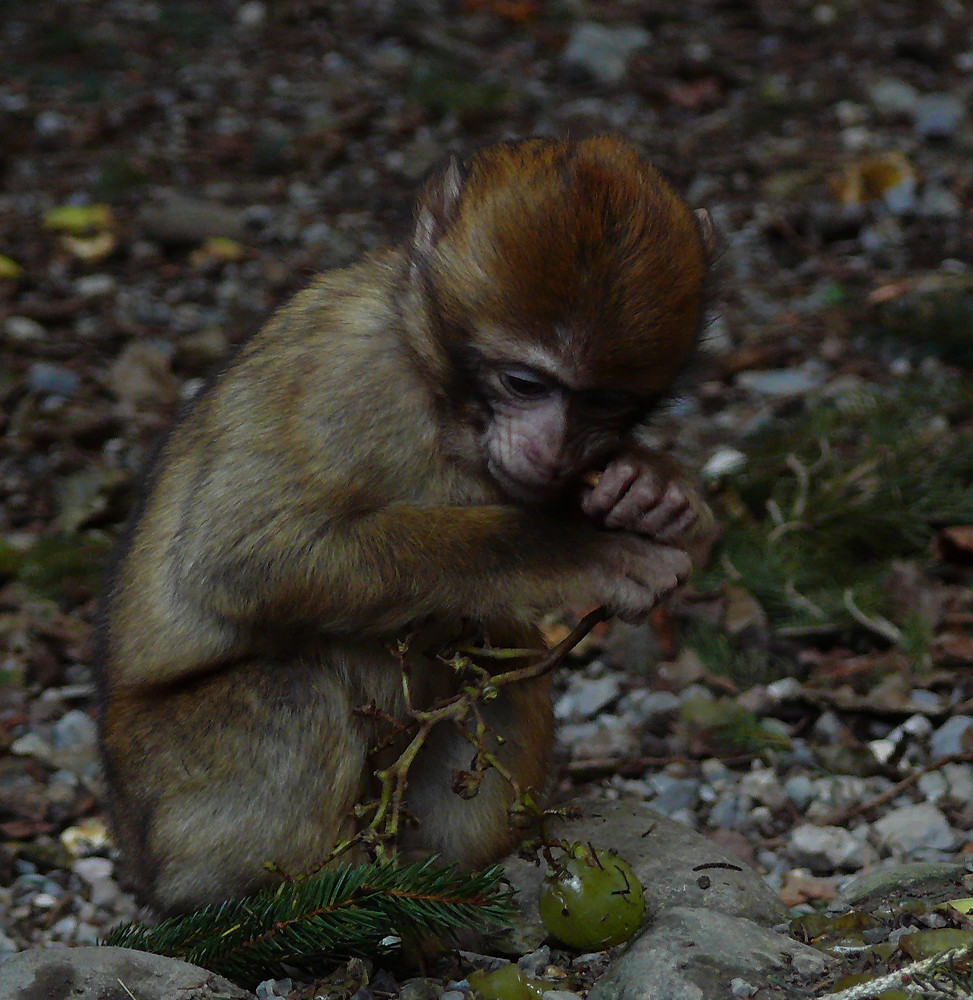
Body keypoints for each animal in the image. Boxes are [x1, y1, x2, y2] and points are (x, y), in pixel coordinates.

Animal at [97, 135, 712, 916]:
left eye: (602, 403)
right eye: (523, 383)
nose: (549, 450)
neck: (440, 397)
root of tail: (135, 849)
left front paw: (650, 486)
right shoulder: (345, 375)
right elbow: (245, 556)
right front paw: (579, 548)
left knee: (497, 665)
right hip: (174, 796)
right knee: (295, 689)